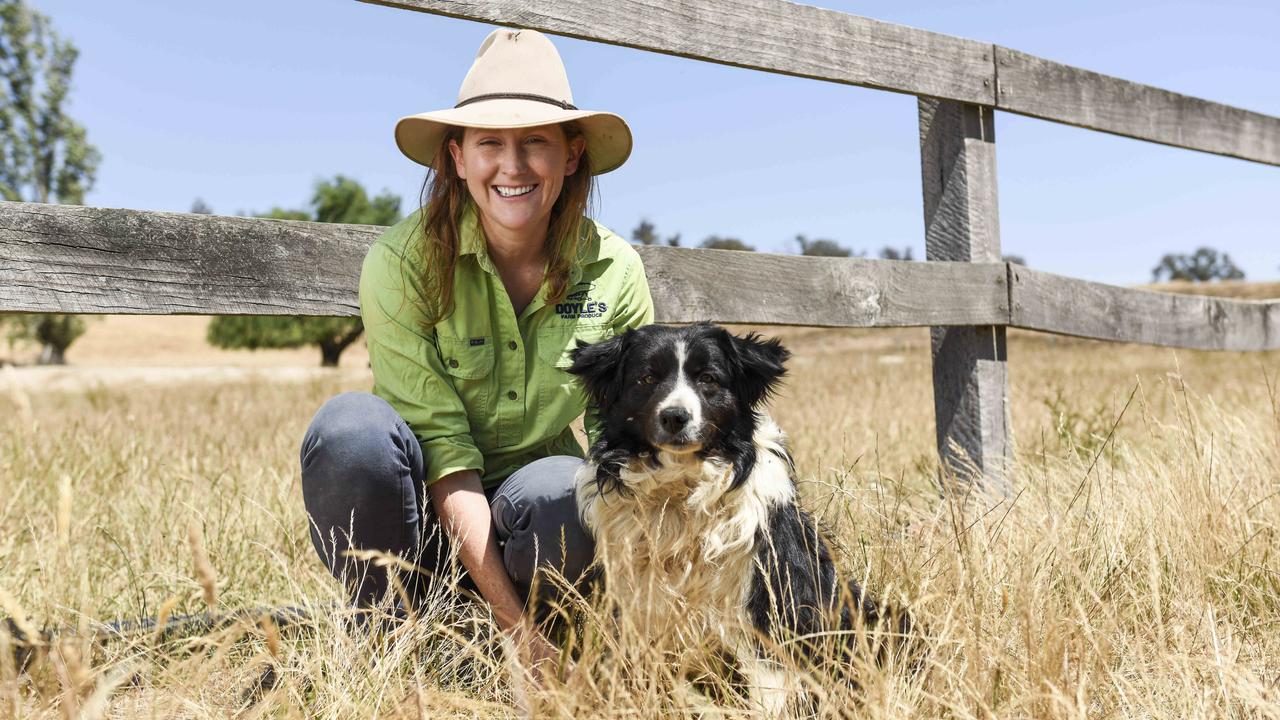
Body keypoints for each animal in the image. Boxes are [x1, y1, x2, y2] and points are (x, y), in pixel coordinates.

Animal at [570, 324, 911, 707]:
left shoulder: (766, 595)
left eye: (708, 379)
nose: (675, 417)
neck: (680, 494)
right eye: (647, 378)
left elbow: (769, 675)